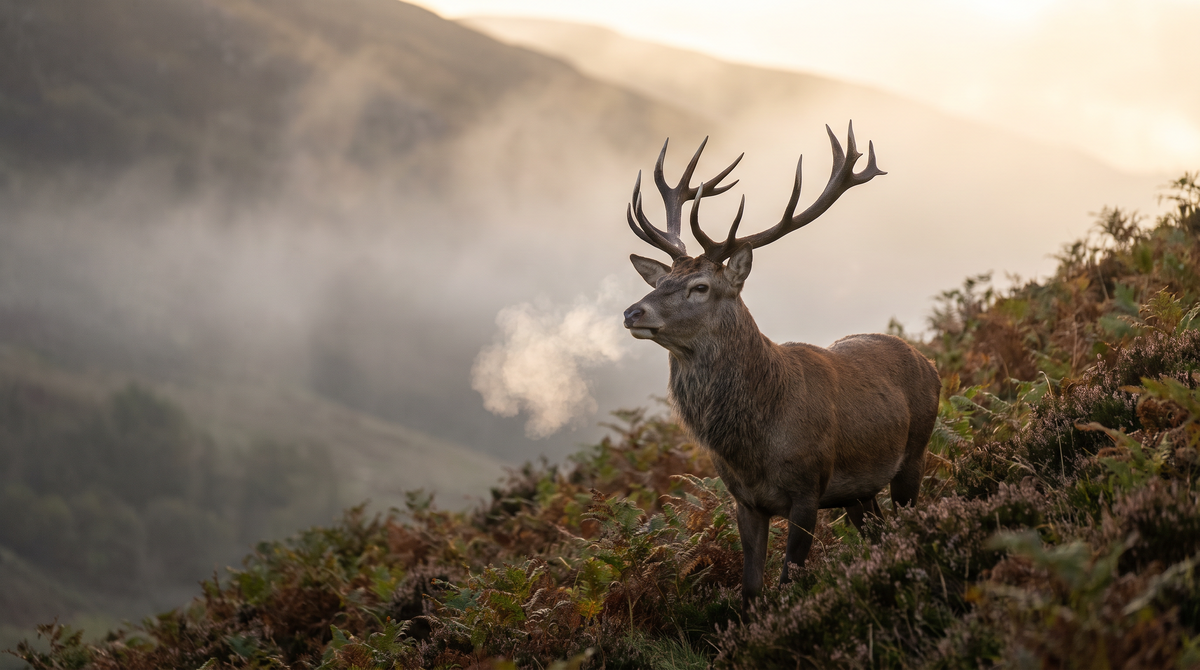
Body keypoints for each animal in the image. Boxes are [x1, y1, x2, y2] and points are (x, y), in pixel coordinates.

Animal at [621, 123, 940, 608]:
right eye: (661, 281)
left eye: (700, 286)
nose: (632, 312)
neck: (755, 443)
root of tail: (930, 362)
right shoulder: (745, 501)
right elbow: (751, 589)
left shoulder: (807, 489)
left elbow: (791, 581)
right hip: (859, 492)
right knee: (880, 533)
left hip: (915, 452)